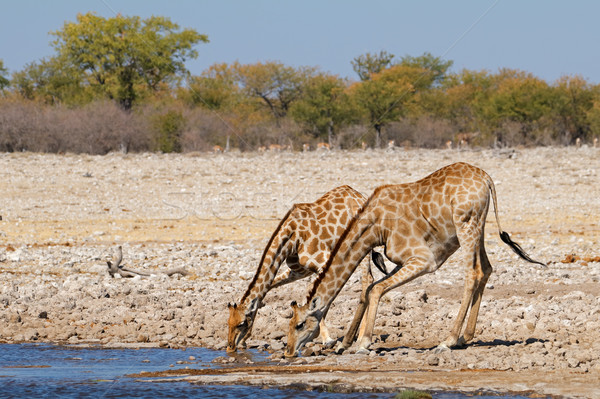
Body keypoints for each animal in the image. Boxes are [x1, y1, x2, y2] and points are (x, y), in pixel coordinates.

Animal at [226, 185, 390, 354]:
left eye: (241, 323)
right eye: (228, 322)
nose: (230, 347)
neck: (291, 237)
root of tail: (359, 195)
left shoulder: (325, 261)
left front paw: (327, 339)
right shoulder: (300, 270)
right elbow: (272, 288)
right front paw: (244, 341)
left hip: (362, 246)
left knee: (368, 280)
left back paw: (360, 336)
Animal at [286, 164, 544, 358]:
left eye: (299, 324)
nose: (288, 351)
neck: (376, 226)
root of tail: (486, 178)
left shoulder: (424, 260)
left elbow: (376, 289)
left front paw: (363, 343)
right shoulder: (402, 260)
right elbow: (371, 288)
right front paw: (347, 342)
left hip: (466, 225)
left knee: (473, 273)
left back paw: (448, 340)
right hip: (477, 227)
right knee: (487, 268)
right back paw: (465, 337)